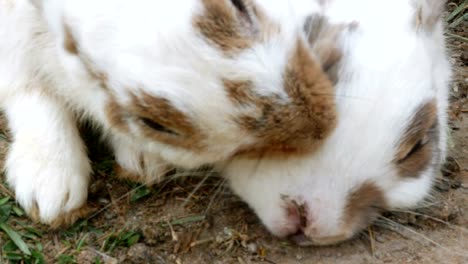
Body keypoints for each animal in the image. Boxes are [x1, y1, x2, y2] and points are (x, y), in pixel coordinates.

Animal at [0, 0, 344, 227]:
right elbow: (31, 93)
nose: (320, 126)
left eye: (240, 6)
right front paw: (51, 191)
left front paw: (142, 161)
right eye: (153, 123)